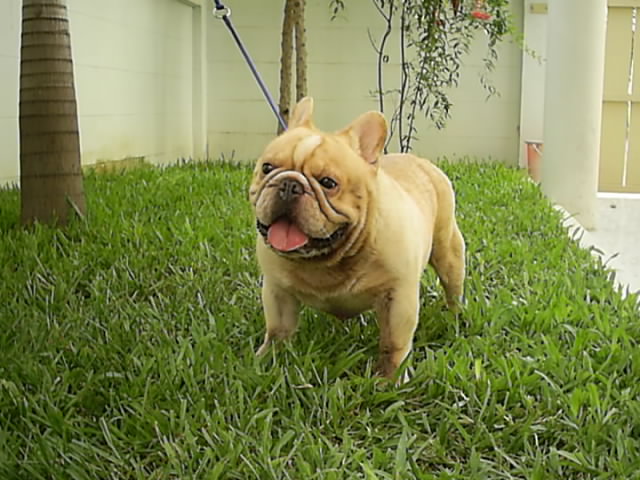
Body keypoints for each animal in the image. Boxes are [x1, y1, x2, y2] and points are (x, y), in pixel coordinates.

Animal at [249, 97, 465, 380]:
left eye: (328, 183)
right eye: (267, 168)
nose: (289, 185)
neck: (325, 261)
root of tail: (419, 161)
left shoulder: (397, 298)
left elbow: (393, 343)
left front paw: (390, 379)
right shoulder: (277, 291)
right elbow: (277, 330)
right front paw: (267, 361)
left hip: (448, 252)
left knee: (453, 288)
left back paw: (455, 318)